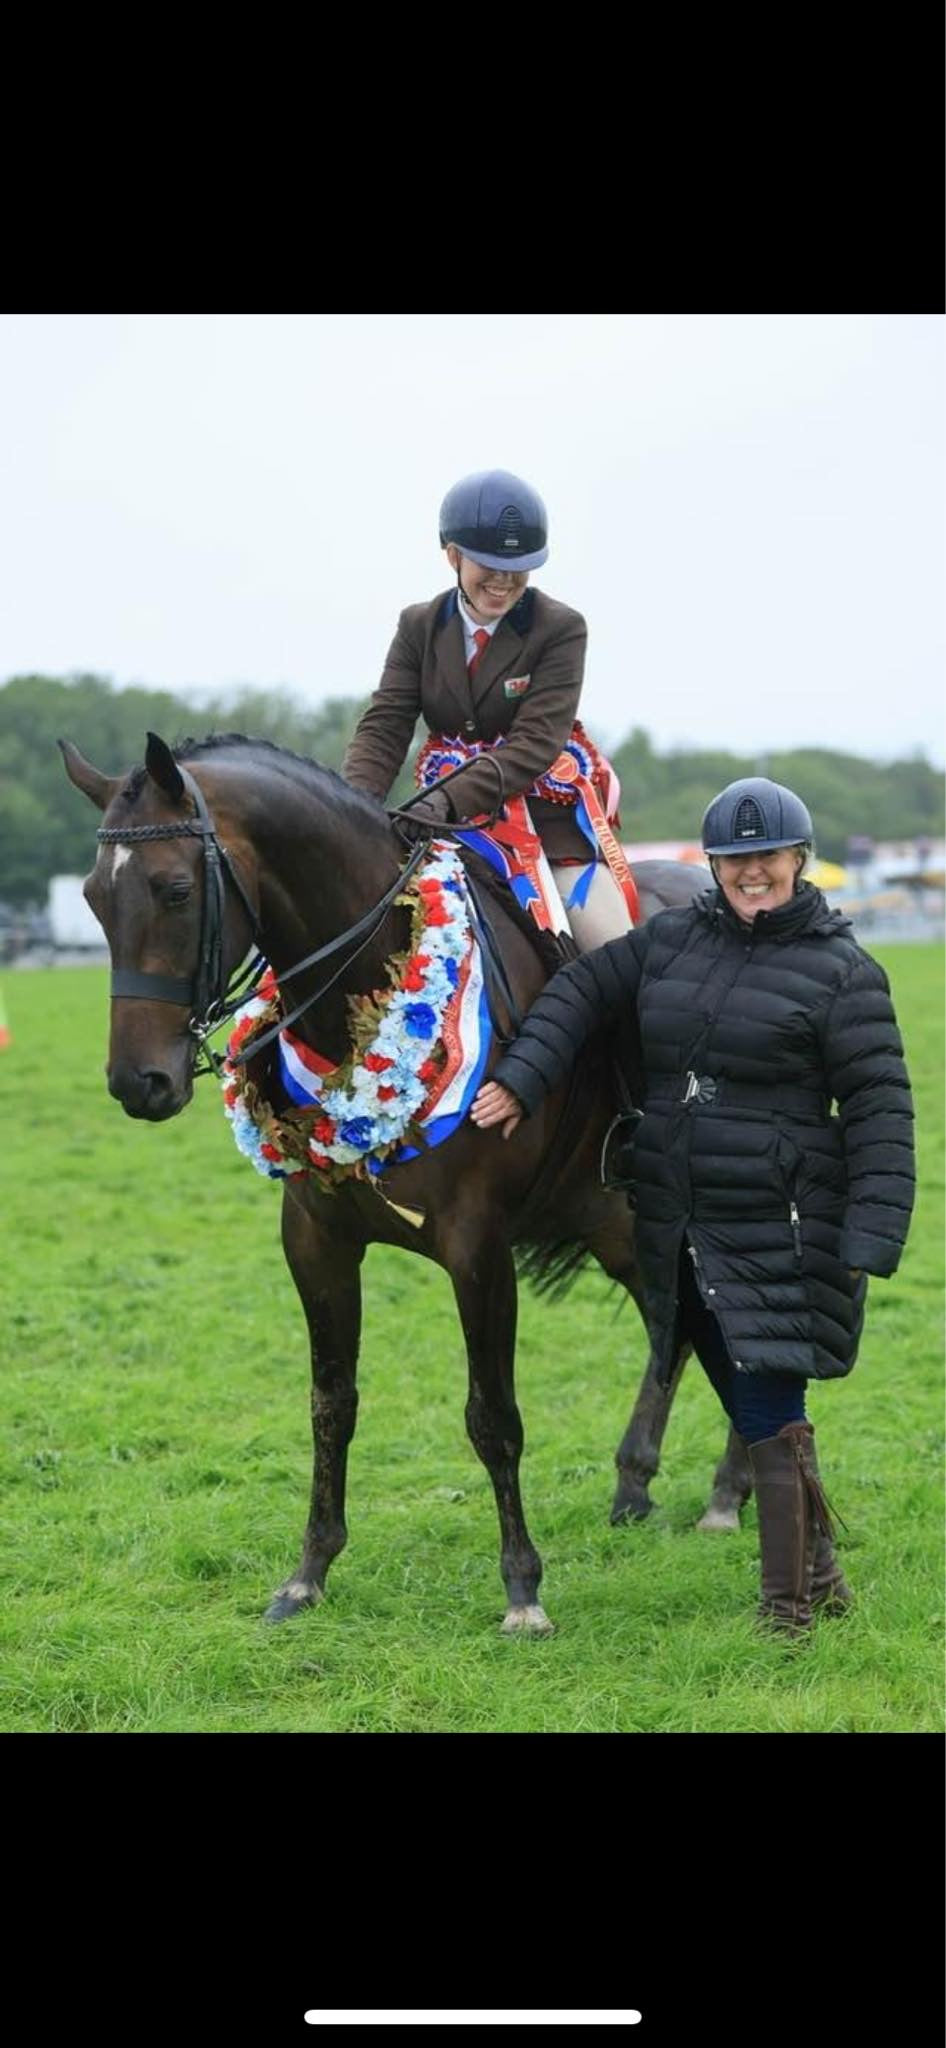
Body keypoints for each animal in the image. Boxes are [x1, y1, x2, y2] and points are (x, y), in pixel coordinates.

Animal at [60, 729, 753, 1638]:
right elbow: (331, 1404)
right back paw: (642, 1482)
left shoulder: (477, 1246)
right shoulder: (315, 1242)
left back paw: (730, 1490)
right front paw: (308, 1574)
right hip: (615, 1221)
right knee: (674, 1328)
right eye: (93, 899)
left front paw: (522, 1590)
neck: (363, 996)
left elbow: (492, 1417)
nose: (138, 1083)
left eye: (175, 890)